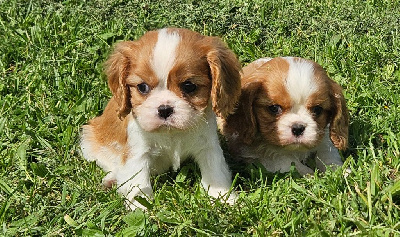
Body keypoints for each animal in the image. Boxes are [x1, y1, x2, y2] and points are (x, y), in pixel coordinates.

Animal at [79, 28, 239, 209]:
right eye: (142, 87)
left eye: (189, 86)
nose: (164, 109)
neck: (171, 133)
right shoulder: (137, 151)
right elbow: (138, 181)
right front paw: (141, 207)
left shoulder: (208, 146)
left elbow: (215, 171)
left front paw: (223, 198)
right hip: (89, 141)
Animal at [220, 57, 348, 175]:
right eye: (274, 108)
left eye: (317, 109)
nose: (298, 128)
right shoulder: (250, 152)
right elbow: (286, 161)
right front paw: (309, 175)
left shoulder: (323, 135)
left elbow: (327, 152)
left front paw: (339, 171)